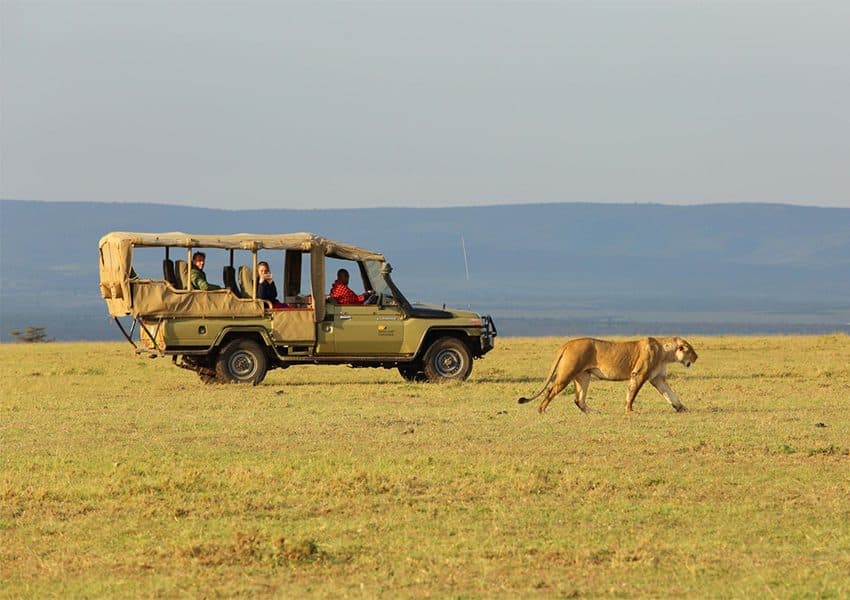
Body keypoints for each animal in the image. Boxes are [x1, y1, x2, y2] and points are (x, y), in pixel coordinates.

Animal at [517, 337, 698, 414]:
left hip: (583, 376)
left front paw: (682, 408)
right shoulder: (638, 374)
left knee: (578, 399)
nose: (697, 357)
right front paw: (629, 410)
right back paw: (541, 410)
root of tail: (568, 343)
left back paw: (593, 412)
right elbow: (632, 394)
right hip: (567, 374)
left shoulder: (657, 378)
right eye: (690, 350)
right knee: (550, 391)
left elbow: (670, 394)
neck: (665, 352)